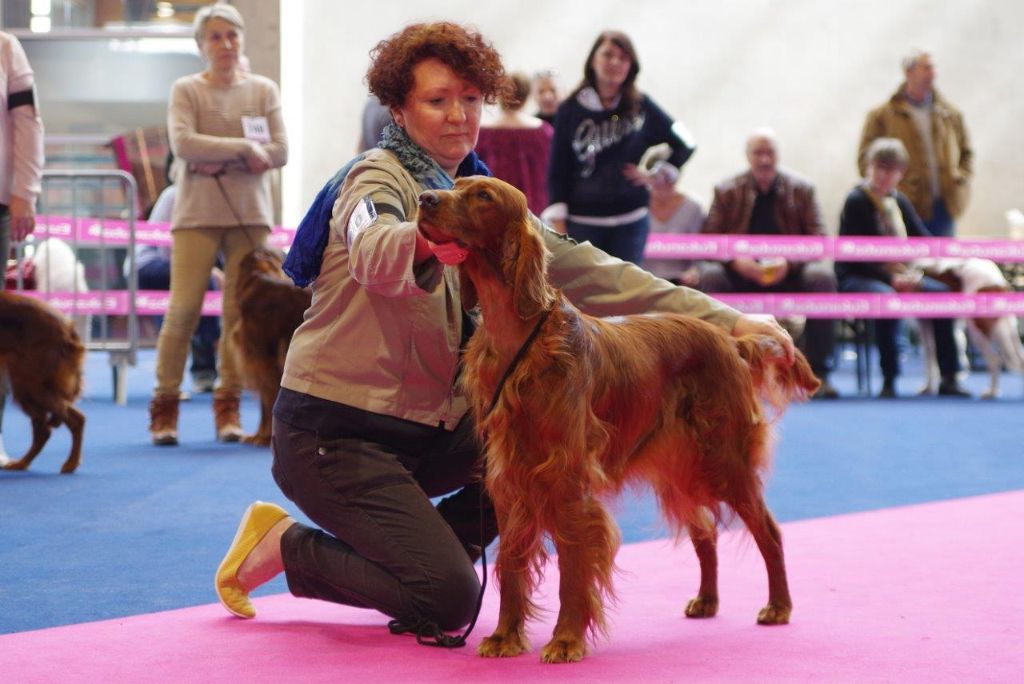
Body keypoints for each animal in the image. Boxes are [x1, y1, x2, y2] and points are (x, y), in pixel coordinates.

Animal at [0, 290, 86, 473]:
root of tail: (67, 326)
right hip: (31, 385)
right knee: (50, 427)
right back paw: (23, 463)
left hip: (28, 384)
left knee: (60, 424)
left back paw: (70, 463)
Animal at [415, 175, 823, 663]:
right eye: (454, 184)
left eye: (482, 196)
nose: (424, 199)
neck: (518, 339)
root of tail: (730, 341)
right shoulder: (510, 478)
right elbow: (511, 564)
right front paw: (504, 636)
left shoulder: (567, 477)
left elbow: (573, 566)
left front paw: (566, 640)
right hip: (678, 470)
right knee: (705, 532)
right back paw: (707, 600)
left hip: (724, 460)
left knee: (769, 531)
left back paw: (778, 606)